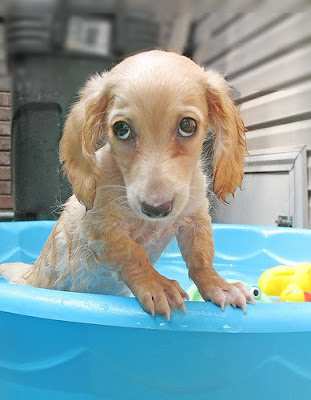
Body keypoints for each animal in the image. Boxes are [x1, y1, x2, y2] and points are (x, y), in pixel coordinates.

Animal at [0, 50, 254, 318]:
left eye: (188, 125)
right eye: (121, 129)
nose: (156, 209)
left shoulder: (196, 219)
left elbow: (201, 258)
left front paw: (219, 285)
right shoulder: (101, 230)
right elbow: (133, 252)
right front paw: (156, 284)